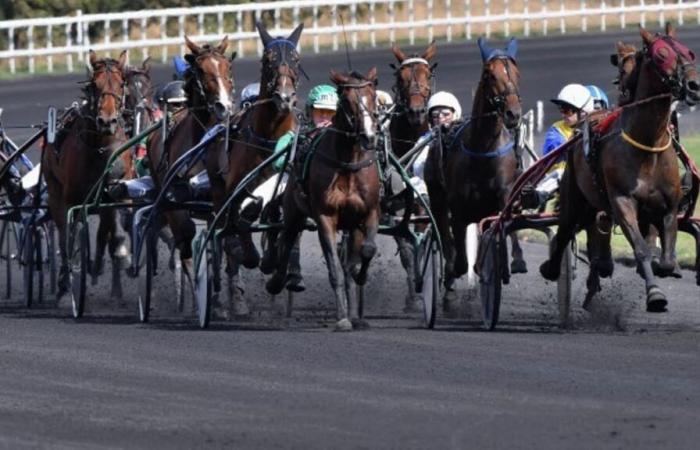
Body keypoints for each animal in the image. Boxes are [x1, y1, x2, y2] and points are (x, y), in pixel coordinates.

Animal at [43, 50, 130, 302]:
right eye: (94, 85)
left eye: (121, 83)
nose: (107, 121)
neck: (100, 148)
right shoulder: (72, 199)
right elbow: (71, 235)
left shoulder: (117, 190)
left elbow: (113, 230)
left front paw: (119, 254)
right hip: (55, 192)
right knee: (64, 233)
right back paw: (65, 280)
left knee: (103, 230)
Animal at [202, 20, 300, 316]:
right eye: (268, 61)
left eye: (296, 59)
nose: (285, 97)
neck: (269, 139)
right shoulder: (235, 187)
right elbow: (239, 221)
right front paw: (249, 254)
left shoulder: (283, 185)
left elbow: (278, 221)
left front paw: (271, 262)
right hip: (217, 184)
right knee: (225, 222)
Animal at [264, 69, 382, 330]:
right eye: (347, 101)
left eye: (372, 97)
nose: (369, 136)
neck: (348, 163)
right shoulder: (325, 217)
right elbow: (335, 269)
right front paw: (342, 318)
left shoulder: (368, 212)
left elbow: (367, 251)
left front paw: (361, 277)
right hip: (293, 211)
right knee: (286, 239)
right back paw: (276, 279)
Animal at [424, 36, 524, 310]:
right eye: (490, 75)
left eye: (517, 73)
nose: (513, 113)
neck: (483, 147)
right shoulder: (457, 208)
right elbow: (456, 253)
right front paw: (452, 276)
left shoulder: (504, 193)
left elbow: (505, 224)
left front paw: (512, 262)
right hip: (437, 197)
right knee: (445, 234)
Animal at [540, 23, 700, 312]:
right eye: (661, 54)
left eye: (688, 51)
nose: (694, 85)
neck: (647, 143)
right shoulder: (622, 201)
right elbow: (640, 249)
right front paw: (655, 293)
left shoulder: (668, 206)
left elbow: (666, 257)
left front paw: (665, 269)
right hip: (574, 198)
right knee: (565, 230)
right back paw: (553, 268)